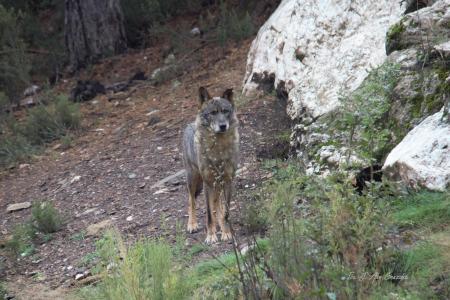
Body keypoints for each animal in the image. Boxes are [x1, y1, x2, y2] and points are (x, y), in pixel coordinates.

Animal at [182, 86, 241, 244]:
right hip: (193, 180)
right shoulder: (207, 183)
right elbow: (208, 214)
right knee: (191, 200)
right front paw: (211, 236)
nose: (223, 126)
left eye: (225, 111)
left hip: (217, 185)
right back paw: (192, 224)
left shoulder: (227, 182)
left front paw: (226, 233)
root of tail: (189, 125)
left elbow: (225, 212)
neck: (218, 151)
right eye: (213, 113)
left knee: (217, 205)